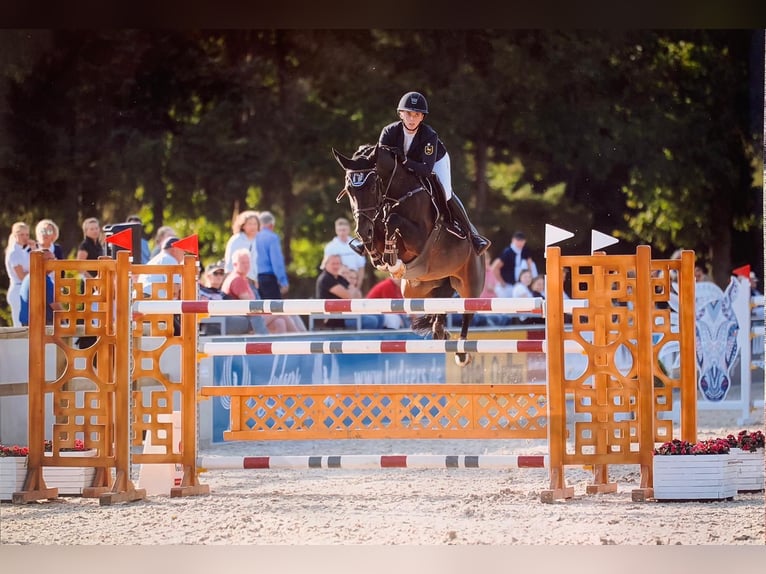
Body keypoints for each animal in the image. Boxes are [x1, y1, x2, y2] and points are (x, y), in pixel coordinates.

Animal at [332, 143, 485, 366]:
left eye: (372, 187)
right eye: (349, 189)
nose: (362, 231)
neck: (394, 195)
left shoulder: (419, 239)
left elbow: (393, 220)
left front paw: (392, 259)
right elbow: (379, 230)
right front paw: (378, 254)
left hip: (470, 284)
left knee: (467, 312)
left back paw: (461, 352)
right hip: (418, 290)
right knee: (439, 303)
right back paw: (441, 332)